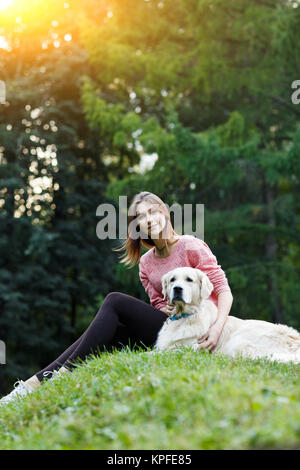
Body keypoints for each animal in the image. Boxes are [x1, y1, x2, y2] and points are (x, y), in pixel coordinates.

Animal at [155, 268, 300, 364]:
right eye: (172, 280)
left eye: (189, 280)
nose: (177, 288)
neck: (183, 316)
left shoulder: (188, 346)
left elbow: (164, 351)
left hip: (239, 340)